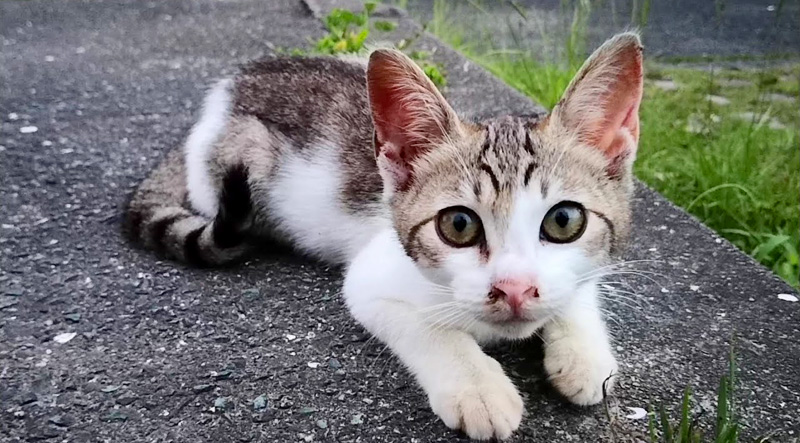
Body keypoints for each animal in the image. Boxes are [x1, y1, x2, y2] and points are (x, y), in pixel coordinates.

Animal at [128, 32, 648, 440]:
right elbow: (430, 329)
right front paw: (478, 387)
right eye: (458, 225)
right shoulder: (371, 279)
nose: (515, 289)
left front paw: (582, 355)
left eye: (564, 221)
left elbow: (579, 288)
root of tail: (218, 99)